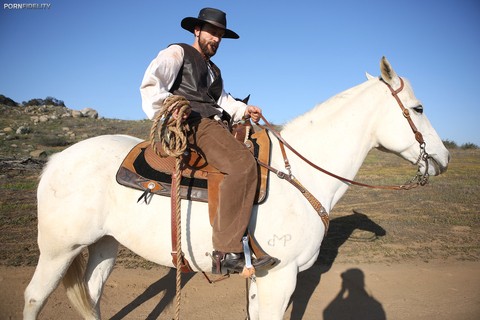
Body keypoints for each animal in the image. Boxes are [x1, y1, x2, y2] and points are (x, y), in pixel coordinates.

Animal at [22, 56, 450, 318]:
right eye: (419, 108)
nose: (444, 157)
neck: (301, 176)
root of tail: (56, 161)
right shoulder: (281, 277)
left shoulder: (262, 277)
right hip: (59, 250)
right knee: (34, 297)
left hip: (103, 245)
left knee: (91, 298)